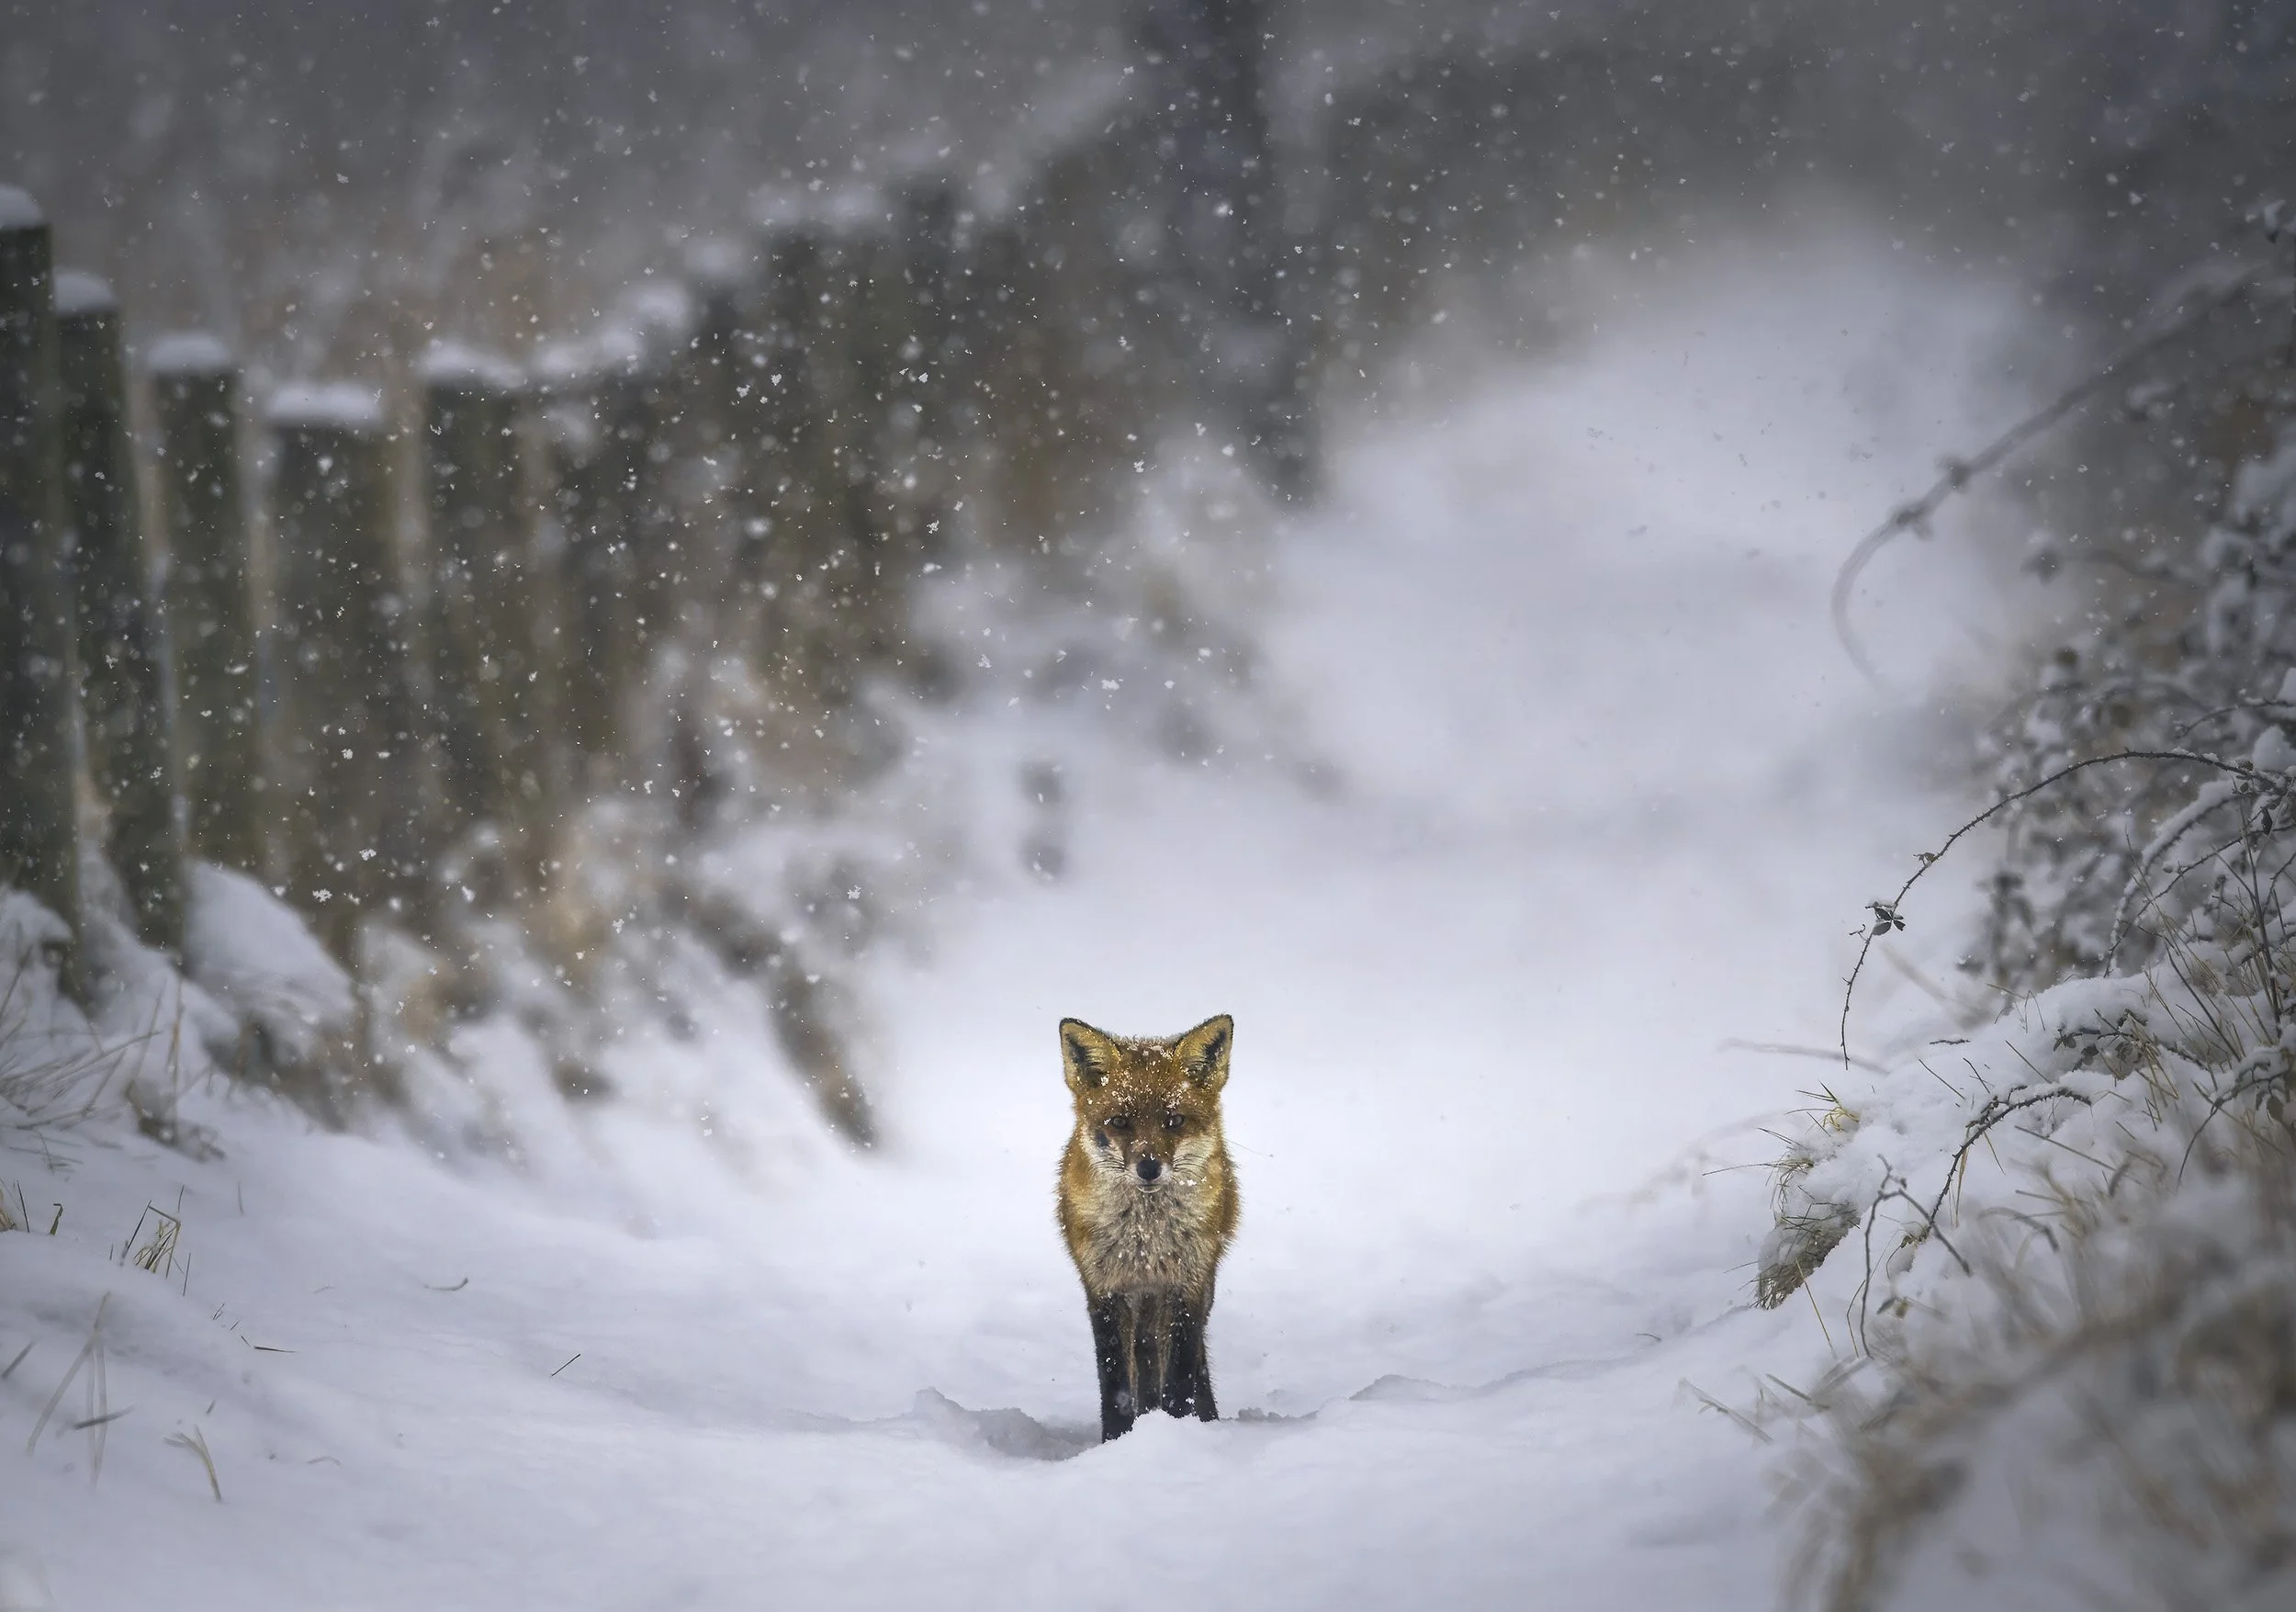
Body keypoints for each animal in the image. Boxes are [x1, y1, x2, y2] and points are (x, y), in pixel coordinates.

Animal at [1055, 1013, 1240, 1442]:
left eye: (1174, 1121)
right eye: (1120, 1122)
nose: (1149, 1168)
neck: (1145, 1240)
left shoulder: (1185, 1288)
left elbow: (1179, 1379)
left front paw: (1176, 1434)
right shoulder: (1105, 1290)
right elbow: (1116, 1385)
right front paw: (1117, 1443)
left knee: (1194, 1363)